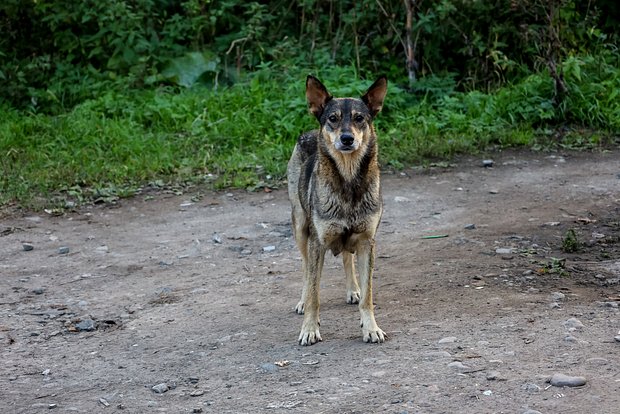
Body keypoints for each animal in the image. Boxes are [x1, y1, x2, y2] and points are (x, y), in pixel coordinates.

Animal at [286, 75, 388, 346]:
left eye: (359, 118)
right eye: (332, 118)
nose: (347, 138)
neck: (348, 180)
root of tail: (309, 133)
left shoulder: (367, 242)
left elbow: (368, 296)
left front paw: (370, 327)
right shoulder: (317, 242)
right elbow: (314, 292)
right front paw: (309, 329)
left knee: (346, 258)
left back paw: (353, 289)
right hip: (300, 228)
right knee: (305, 268)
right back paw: (302, 300)